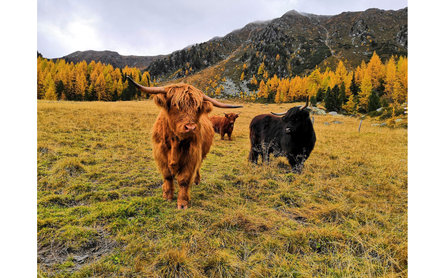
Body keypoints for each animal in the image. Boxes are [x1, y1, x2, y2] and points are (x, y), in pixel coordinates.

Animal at [125, 76, 243, 208]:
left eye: (198, 108)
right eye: (175, 104)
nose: (190, 127)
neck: (175, 142)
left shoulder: (191, 157)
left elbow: (184, 179)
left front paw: (182, 202)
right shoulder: (160, 154)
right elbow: (167, 176)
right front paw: (167, 195)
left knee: (198, 168)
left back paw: (196, 180)